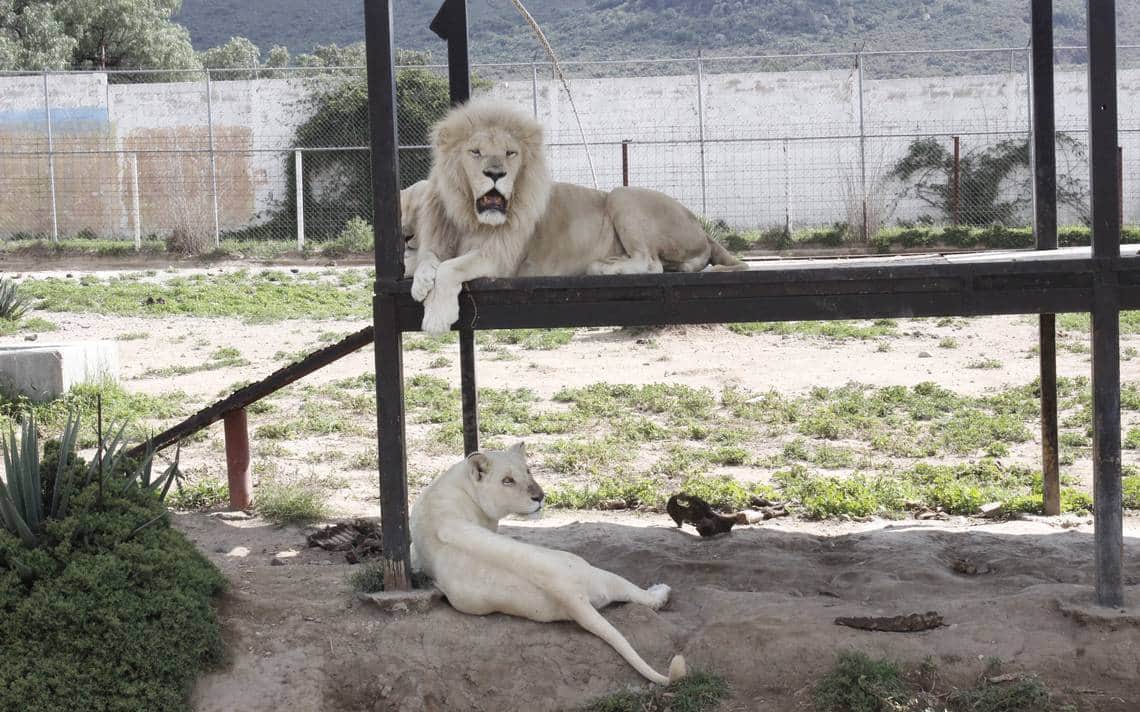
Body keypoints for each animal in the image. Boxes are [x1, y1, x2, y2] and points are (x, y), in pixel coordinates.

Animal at [408, 97, 746, 334]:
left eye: (510, 153)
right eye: (475, 152)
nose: (495, 174)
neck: (469, 216)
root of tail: (703, 230)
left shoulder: (501, 259)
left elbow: (451, 268)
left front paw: (436, 316)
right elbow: (426, 259)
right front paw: (421, 282)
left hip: (622, 196)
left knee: (650, 263)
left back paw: (604, 266)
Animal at [410, 442, 687, 685]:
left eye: (528, 471)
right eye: (507, 480)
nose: (540, 497)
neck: (458, 484)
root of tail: (568, 593)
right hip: (590, 569)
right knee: (640, 596)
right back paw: (660, 593)